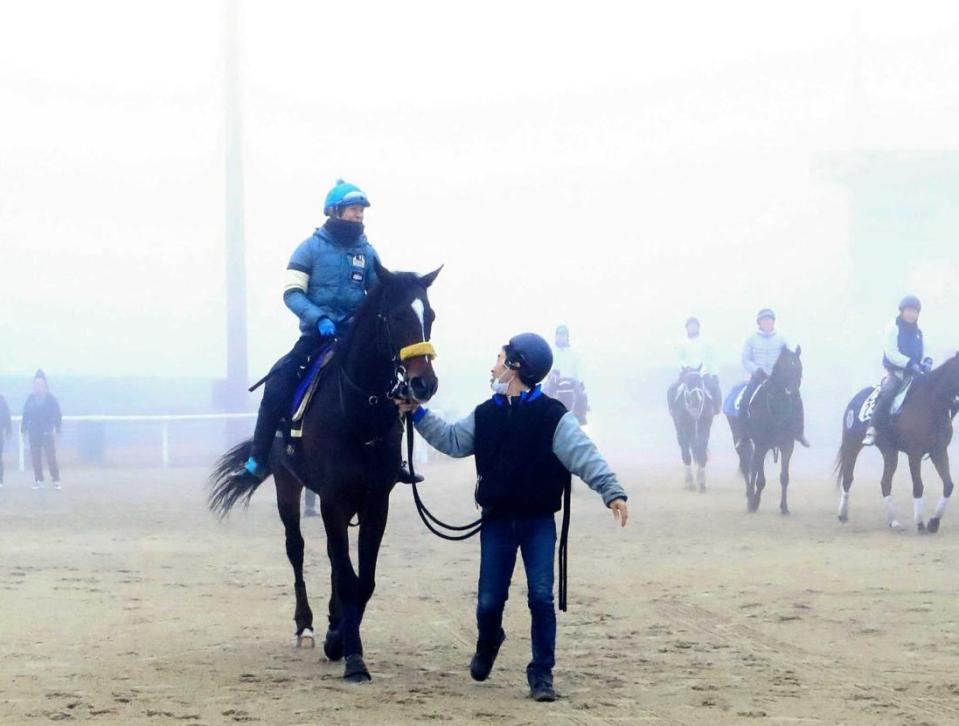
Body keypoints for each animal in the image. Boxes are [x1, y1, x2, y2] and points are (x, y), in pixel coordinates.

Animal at [210, 264, 442, 684]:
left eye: (429, 316)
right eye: (396, 316)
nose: (424, 383)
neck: (360, 411)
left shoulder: (374, 501)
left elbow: (362, 580)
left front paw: (341, 638)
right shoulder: (332, 499)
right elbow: (346, 577)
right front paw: (352, 657)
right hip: (288, 486)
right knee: (297, 549)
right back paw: (305, 625)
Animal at [732, 348, 808, 516]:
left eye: (799, 368)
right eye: (784, 367)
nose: (793, 392)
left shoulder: (787, 445)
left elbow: (784, 477)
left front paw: (784, 507)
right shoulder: (762, 444)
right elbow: (760, 478)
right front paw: (754, 503)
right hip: (741, 439)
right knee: (748, 465)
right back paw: (749, 497)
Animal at [832, 354, 959, 536]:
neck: (930, 403)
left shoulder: (939, 451)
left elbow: (948, 485)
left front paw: (933, 523)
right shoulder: (914, 454)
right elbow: (918, 487)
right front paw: (920, 523)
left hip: (889, 451)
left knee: (885, 482)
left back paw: (893, 521)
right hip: (852, 444)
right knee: (848, 478)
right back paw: (842, 514)